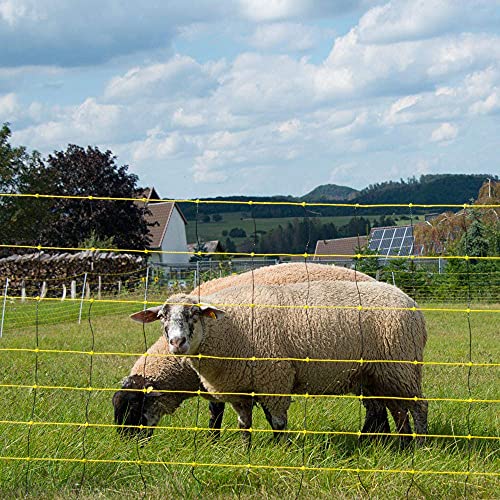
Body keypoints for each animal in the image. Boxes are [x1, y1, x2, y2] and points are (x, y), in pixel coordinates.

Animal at [113, 262, 386, 438]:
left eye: (134, 406)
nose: (125, 442)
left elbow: (222, 412)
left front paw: (213, 441)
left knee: (377, 408)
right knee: (376, 407)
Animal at [131, 282, 428, 446]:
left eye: (194, 314)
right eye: (161, 317)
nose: (177, 342)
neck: (228, 329)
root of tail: (411, 303)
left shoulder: (274, 377)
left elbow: (278, 422)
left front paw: (281, 449)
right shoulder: (240, 388)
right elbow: (244, 425)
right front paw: (245, 452)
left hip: (401, 366)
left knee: (418, 407)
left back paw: (421, 444)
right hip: (380, 373)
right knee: (397, 410)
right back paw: (403, 444)